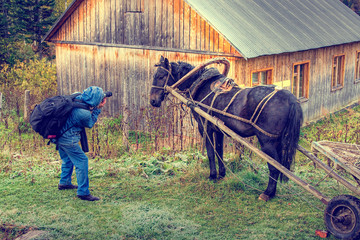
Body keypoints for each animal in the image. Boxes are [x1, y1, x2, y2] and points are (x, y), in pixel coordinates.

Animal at [150, 56, 304, 201]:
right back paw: (273, 192)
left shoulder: (204, 126)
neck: (201, 85)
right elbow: (219, 151)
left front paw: (212, 176)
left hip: (267, 141)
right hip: (279, 141)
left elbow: (210, 153)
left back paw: (267, 193)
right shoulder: (218, 129)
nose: (152, 100)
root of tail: (291, 98)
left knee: (274, 167)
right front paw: (221, 174)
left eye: (161, 76)